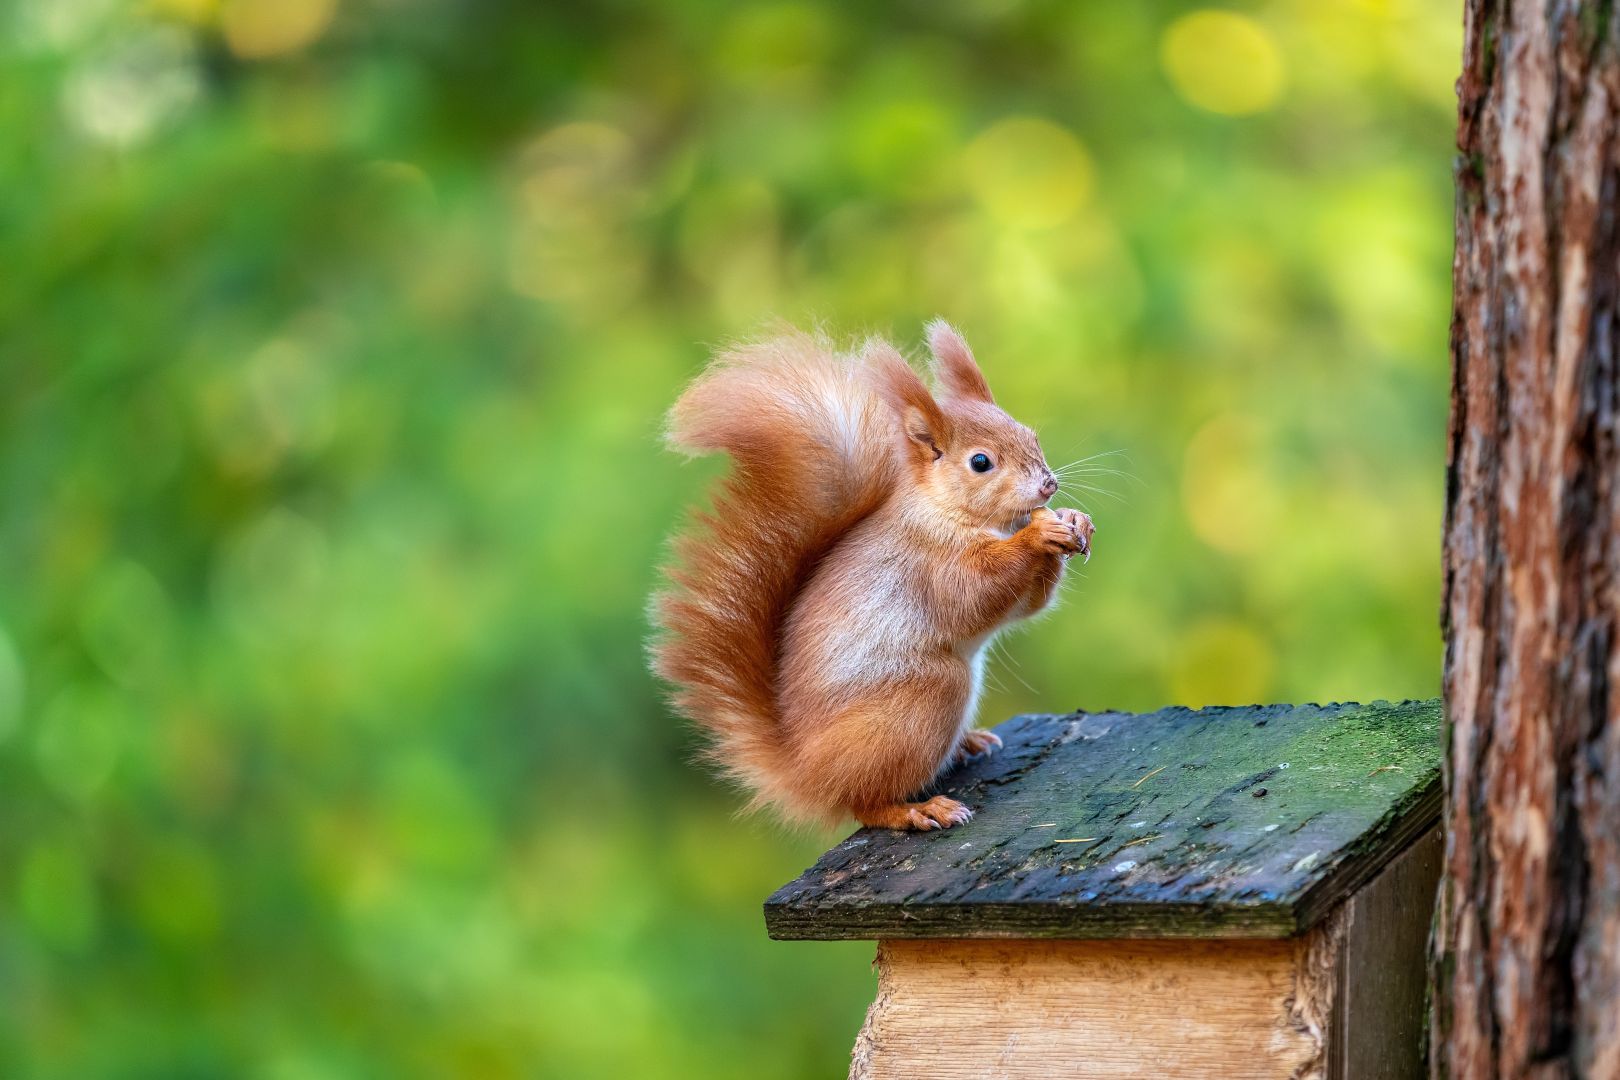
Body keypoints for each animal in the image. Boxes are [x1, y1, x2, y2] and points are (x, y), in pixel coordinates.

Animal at [651, 322, 1093, 831]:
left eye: (1030, 434)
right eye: (980, 462)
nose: (1048, 485)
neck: (948, 511)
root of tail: (804, 771)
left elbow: (1030, 604)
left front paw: (1074, 520)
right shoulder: (930, 563)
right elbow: (975, 593)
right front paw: (1040, 532)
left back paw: (967, 743)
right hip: (926, 697)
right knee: (864, 800)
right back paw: (916, 809)